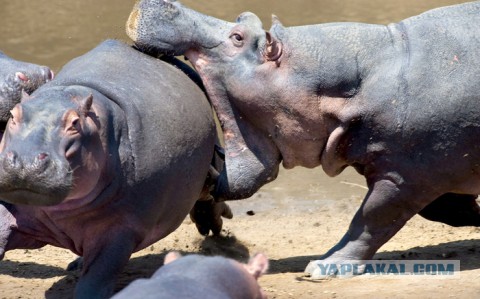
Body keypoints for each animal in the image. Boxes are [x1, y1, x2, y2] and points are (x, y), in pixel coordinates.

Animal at [0, 39, 216, 299]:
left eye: (75, 123)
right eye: (13, 115)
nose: (25, 161)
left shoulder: (119, 233)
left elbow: (93, 285)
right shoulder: (13, 209)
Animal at [126, 1, 480, 280]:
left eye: (238, 37)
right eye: (243, 16)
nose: (167, 2)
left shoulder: (405, 177)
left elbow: (371, 219)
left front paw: (324, 267)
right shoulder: (423, 171)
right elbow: (442, 210)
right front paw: (474, 216)